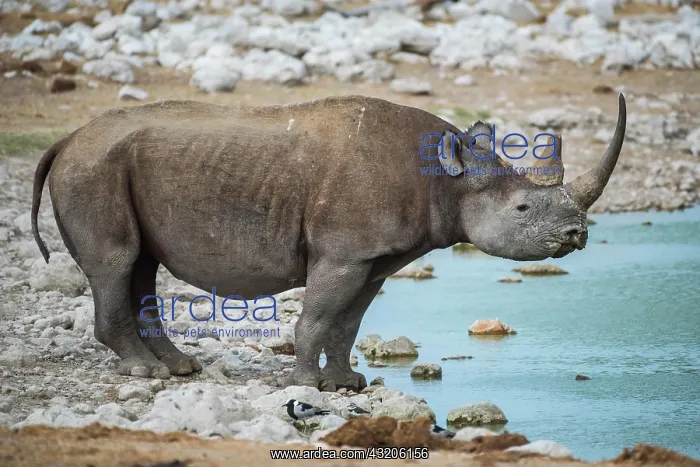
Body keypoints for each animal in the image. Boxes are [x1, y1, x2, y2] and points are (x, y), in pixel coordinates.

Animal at [31, 94, 626, 389]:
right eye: (522, 210)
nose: (576, 235)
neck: (445, 179)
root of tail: (65, 139)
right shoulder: (344, 251)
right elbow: (318, 314)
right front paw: (304, 385)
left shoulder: (376, 256)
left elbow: (349, 320)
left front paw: (347, 384)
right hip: (93, 169)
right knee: (116, 263)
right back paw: (146, 373)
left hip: (110, 167)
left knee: (141, 266)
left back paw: (179, 370)